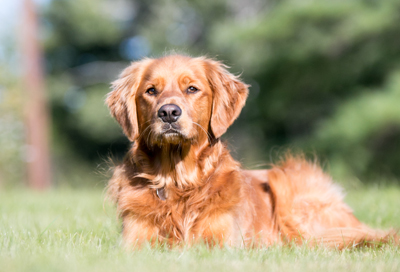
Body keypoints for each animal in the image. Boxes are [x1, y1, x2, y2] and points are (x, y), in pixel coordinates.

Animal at [106, 53, 396, 249]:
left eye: (192, 88)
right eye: (151, 91)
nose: (168, 113)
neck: (178, 181)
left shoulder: (224, 242)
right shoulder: (134, 243)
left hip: (286, 183)